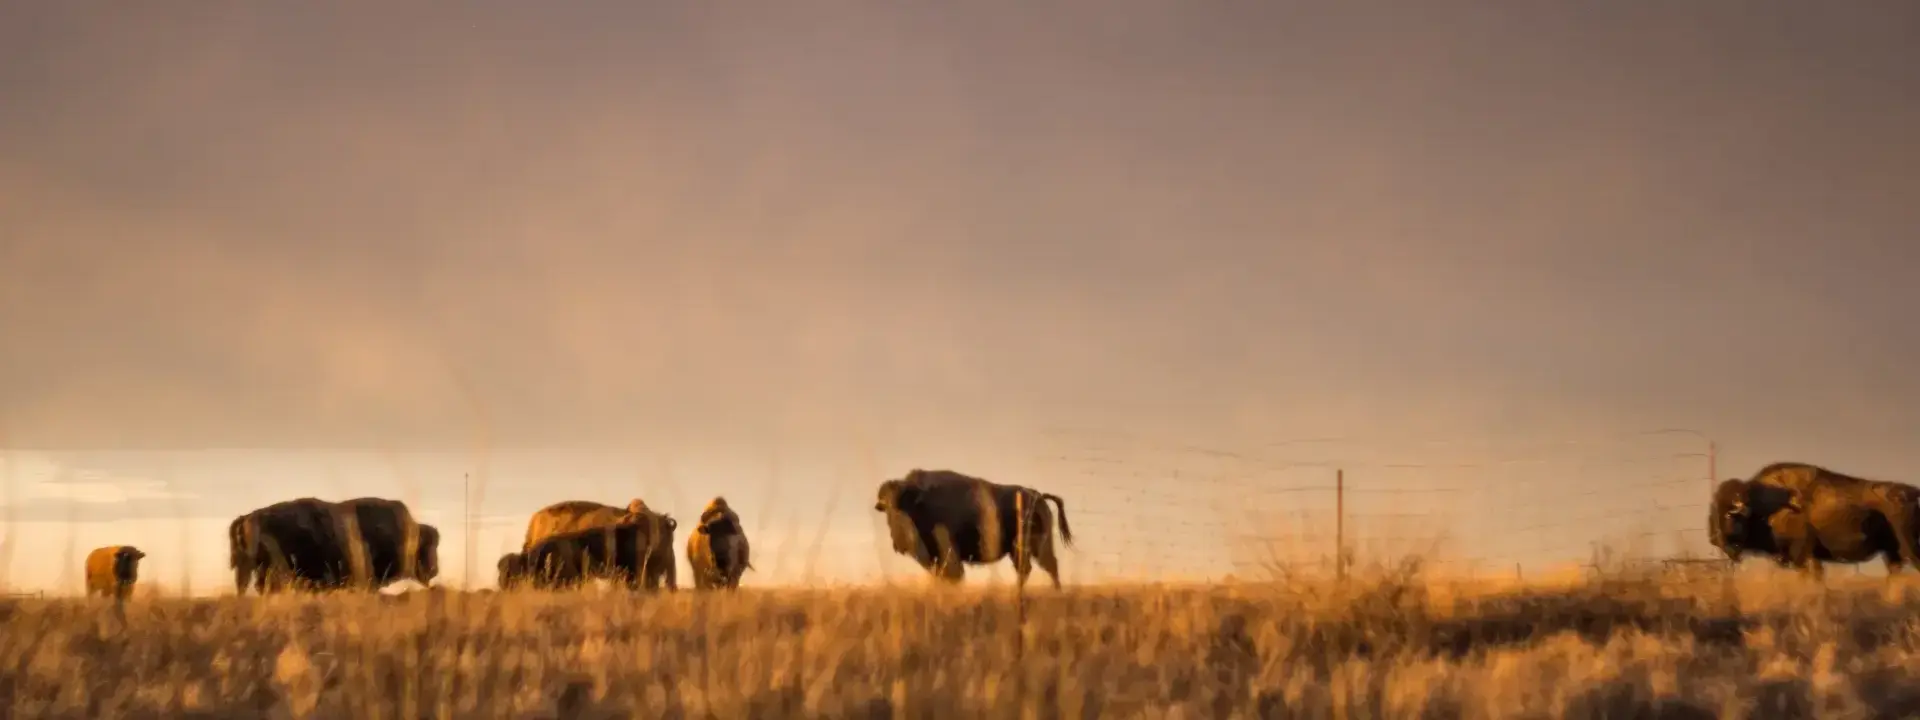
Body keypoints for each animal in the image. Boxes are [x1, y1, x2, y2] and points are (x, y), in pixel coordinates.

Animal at [875, 468, 1075, 591]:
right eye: (886, 508)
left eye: (903, 504)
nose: (899, 541)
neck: (921, 500)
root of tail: (1038, 495)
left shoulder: (949, 553)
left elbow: (954, 575)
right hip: (1024, 549)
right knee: (1035, 568)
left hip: (1033, 546)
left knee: (1045, 567)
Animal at [1712, 462, 1920, 579]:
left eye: (1729, 514)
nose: (1715, 539)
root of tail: (1912, 492)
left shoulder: (1801, 553)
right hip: (1891, 552)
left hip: (1909, 547)